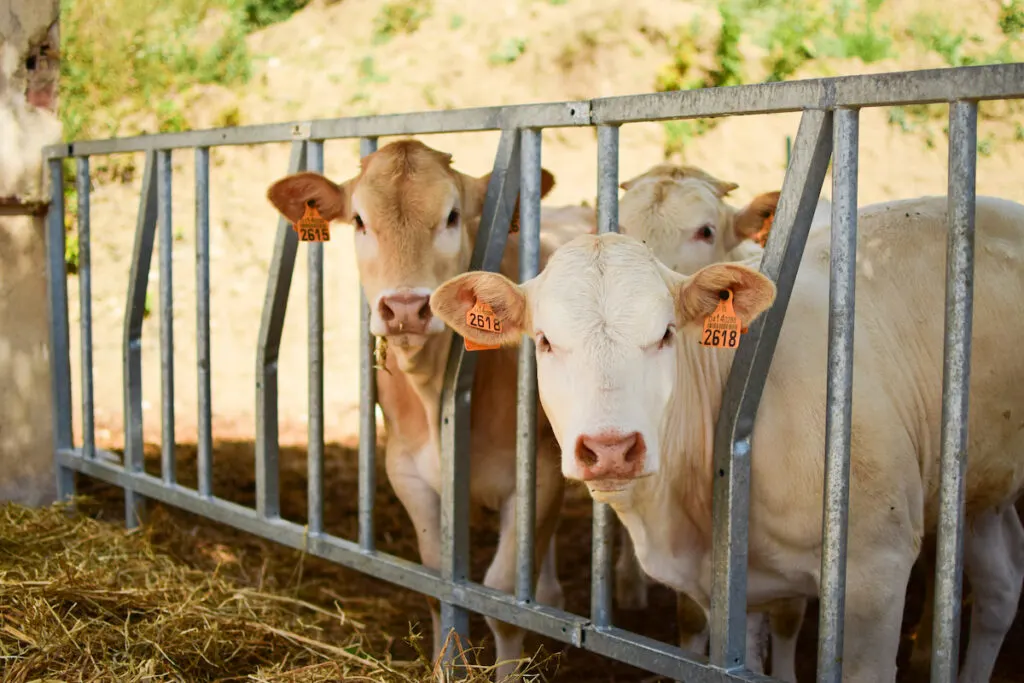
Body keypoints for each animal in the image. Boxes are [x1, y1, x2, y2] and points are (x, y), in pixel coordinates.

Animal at [264, 137, 598, 679]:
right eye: (358, 220)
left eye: (453, 216)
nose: (404, 308)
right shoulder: (407, 471)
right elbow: (438, 582)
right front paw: (448, 667)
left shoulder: (540, 475)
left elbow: (504, 597)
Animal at [428, 193, 1024, 683]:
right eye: (546, 340)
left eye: (666, 334)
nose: (611, 448)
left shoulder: (877, 567)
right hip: (978, 489)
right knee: (1000, 584)